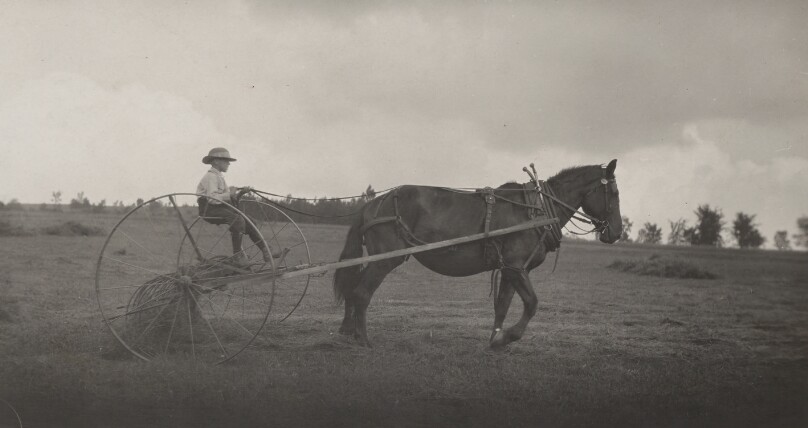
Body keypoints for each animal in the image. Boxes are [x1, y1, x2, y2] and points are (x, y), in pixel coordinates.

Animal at [333, 160, 623, 348]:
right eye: (614, 193)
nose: (617, 232)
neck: (536, 210)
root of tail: (373, 203)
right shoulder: (516, 266)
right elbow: (532, 303)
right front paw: (509, 336)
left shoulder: (511, 269)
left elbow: (502, 305)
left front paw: (496, 338)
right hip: (385, 259)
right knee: (361, 293)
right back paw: (363, 339)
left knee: (353, 289)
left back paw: (348, 330)